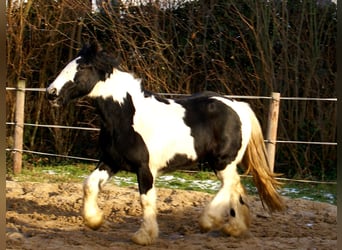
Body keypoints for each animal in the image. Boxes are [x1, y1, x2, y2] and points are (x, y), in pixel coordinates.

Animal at [46, 42, 284, 244]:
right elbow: (89, 184)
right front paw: (94, 220)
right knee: (237, 188)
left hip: (222, 161)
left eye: (84, 66)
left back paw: (208, 221)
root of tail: (238, 106)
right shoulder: (110, 161)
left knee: (231, 184)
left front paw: (144, 236)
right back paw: (235, 228)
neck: (126, 115)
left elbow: (146, 200)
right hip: (224, 163)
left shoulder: (145, 168)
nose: (51, 93)